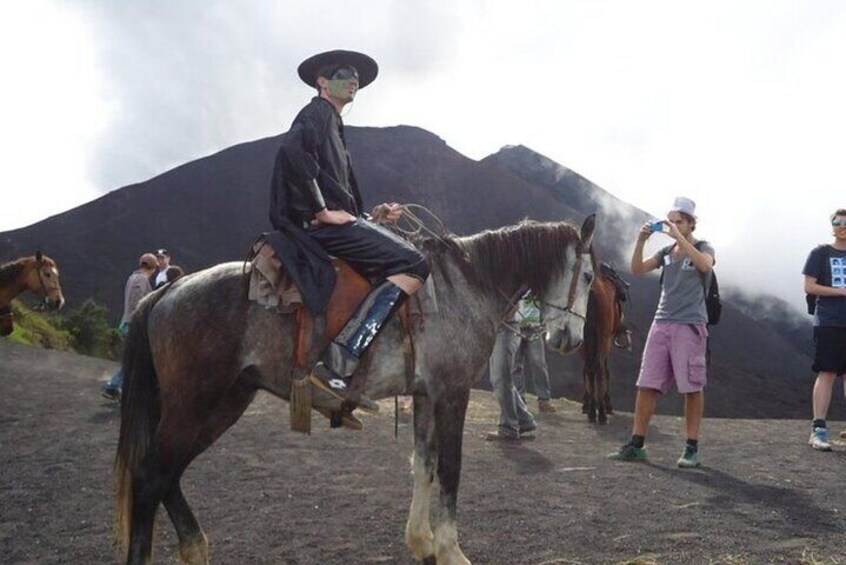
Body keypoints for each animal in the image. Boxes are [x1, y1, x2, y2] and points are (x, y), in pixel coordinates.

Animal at [116, 214, 600, 560]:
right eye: (590, 277)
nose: (571, 339)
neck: (468, 284)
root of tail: (169, 290)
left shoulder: (425, 394)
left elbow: (424, 463)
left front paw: (422, 541)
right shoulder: (452, 392)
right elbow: (450, 469)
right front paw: (450, 550)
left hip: (224, 401)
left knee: (166, 475)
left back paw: (196, 548)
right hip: (196, 402)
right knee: (152, 476)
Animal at [584, 264, 628, 424]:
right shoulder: (606, 340)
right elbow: (606, 370)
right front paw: (606, 403)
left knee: (590, 367)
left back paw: (592, 411)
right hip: (603, 339)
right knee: (599, 368)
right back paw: (601, 412)